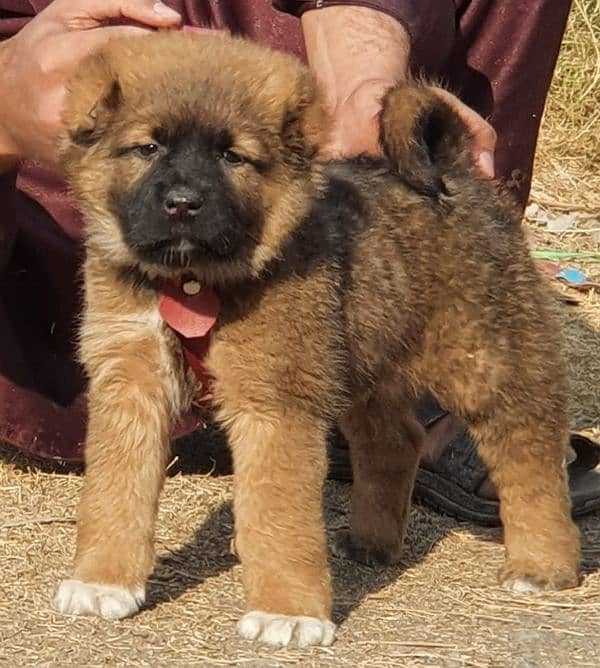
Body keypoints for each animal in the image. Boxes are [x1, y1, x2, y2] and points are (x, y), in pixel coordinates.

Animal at [54, 32, 580, 648]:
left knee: (530, 457)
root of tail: (455, 174)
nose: (183, 203)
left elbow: (278, 516)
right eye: (148, 148)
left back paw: (542, 563)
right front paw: (103, 581)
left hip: (487, 363)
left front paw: (288, 611)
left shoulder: (277, 403)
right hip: (365, 364)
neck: (192, 279)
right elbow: (115, 492)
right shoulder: (131, 382)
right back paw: (373, 541)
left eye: (233, 156)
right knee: (395, 441)